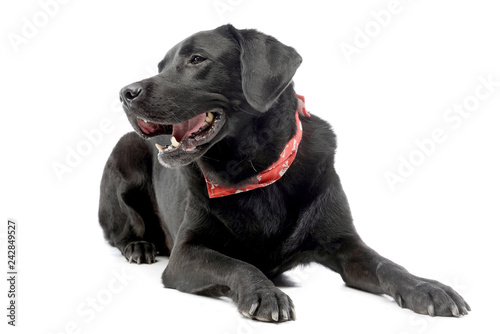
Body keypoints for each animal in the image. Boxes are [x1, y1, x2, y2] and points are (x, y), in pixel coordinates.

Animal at [97, 23, 468, 320]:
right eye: (161, 67)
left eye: (197, 60)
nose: (125, 93)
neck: (252, 170)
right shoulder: (185, 253)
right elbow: (236, 263)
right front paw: (264, 291)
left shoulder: (345, 243)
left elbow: (386, 264)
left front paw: (426, 287)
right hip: (125, 153)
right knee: (118, 232)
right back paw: (138, 246)